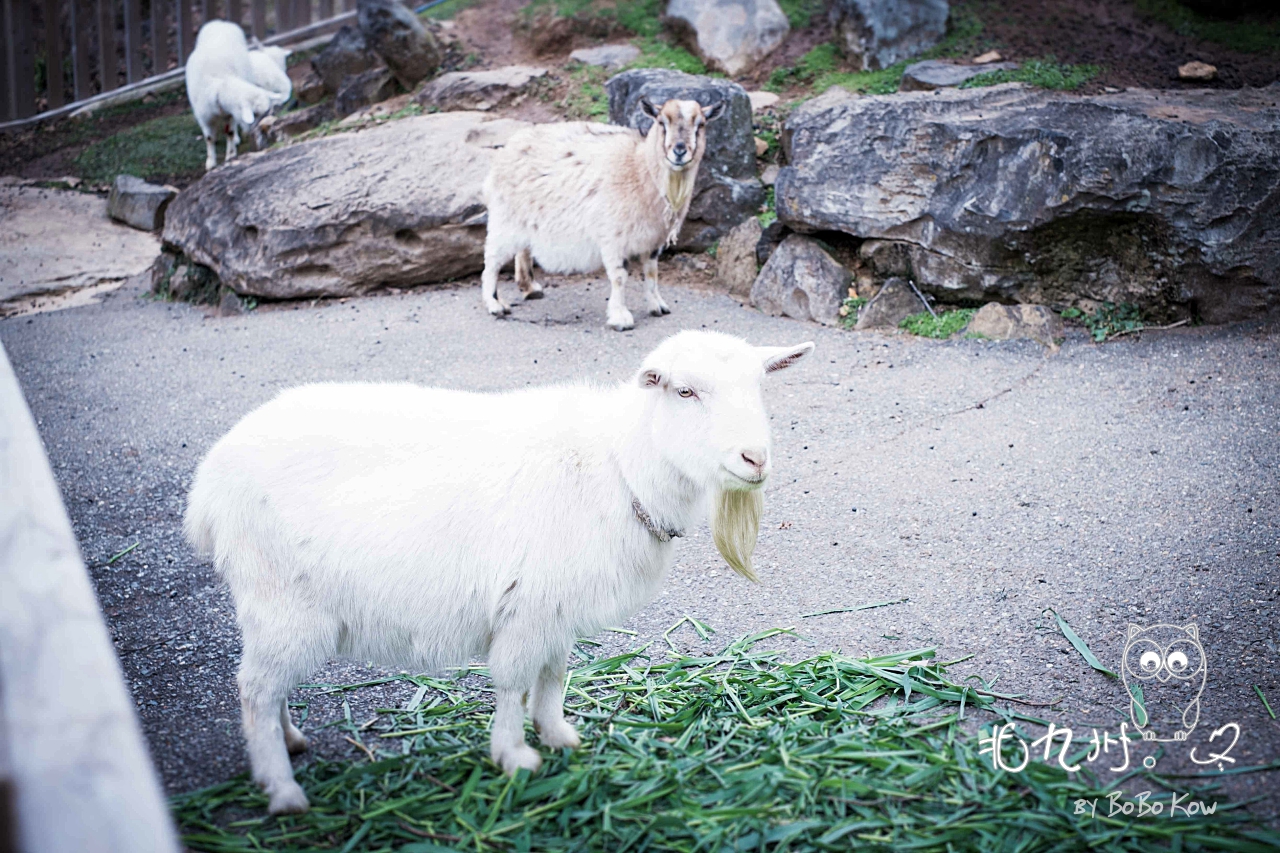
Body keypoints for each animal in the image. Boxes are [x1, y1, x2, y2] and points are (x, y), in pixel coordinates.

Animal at [185, 21, 288, 171]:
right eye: (255, 113)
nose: (254, 131)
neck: (219, 85)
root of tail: (221, 23)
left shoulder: (231, 114)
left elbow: (230, 132)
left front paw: (231, 155)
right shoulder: (204, 117)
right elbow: (209, 138)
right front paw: (210, 162)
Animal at [186, 327, 814, 814]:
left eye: (759, 387)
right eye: (685, 390)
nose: (755, 458)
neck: (617, 468)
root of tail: (208, 483)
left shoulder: (556, 607)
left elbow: (554, 673)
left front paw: (560, 736)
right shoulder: (526, 603)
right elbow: (512, 682)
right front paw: (515, 756)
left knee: (269, 687)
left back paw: (291, 741)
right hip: (280, 599)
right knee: (254, 689)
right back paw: (283, 789)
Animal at [481, 96, 727, 327]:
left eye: (701, 124)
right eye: (661, 122)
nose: (679, 151)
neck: (640, 168)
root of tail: (509, 147)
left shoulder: (653, 239)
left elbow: (651, 272)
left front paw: (658, 306)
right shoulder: (613, 235)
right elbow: (619, 276)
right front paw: (620, 317)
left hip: (526, 218)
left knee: (522, 249)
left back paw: (530, 288)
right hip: (504, 218)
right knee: (491, 260)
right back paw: (495, 304)